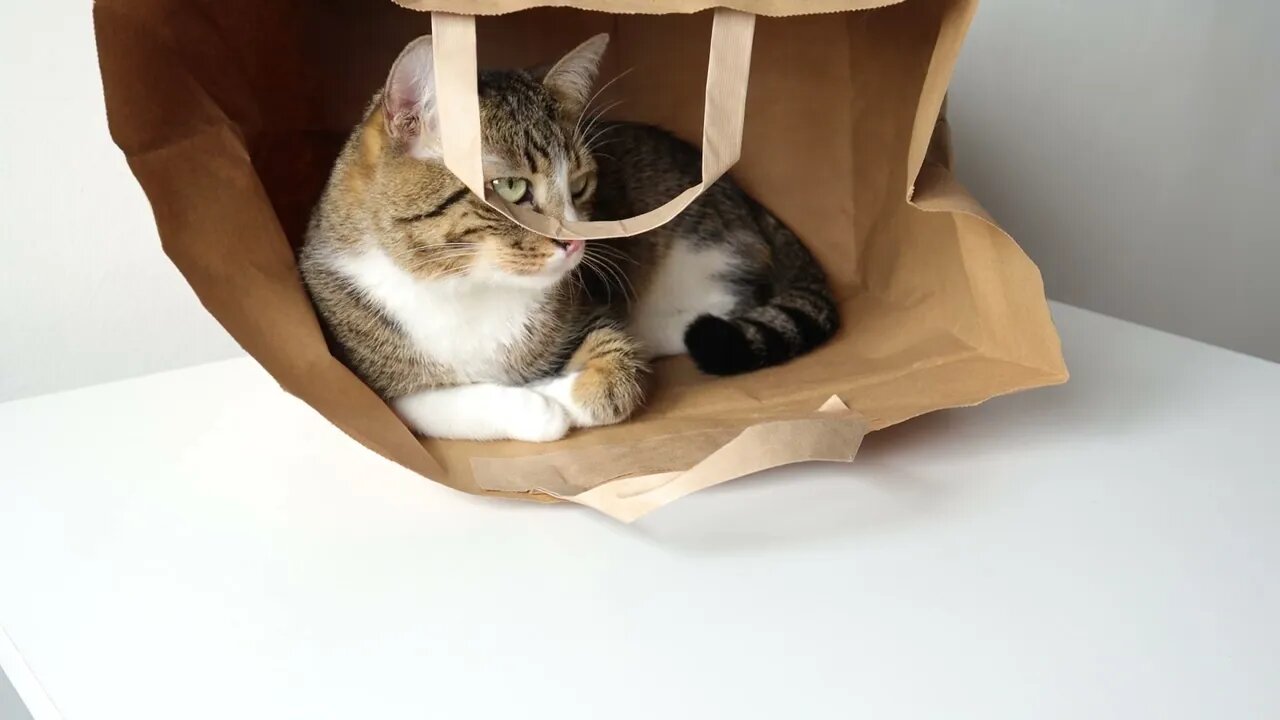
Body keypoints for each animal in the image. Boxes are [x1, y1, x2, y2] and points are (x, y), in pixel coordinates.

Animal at [298, 32, 839, 443]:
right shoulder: (372, 383)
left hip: (702, 254)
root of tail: (746, 198)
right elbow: (429, 403)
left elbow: (620, 374)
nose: (577, 242)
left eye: (579, 185)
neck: (467, 286)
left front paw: (556, 390)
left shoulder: (588, 310)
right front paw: (537, 404)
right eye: (510, 187)